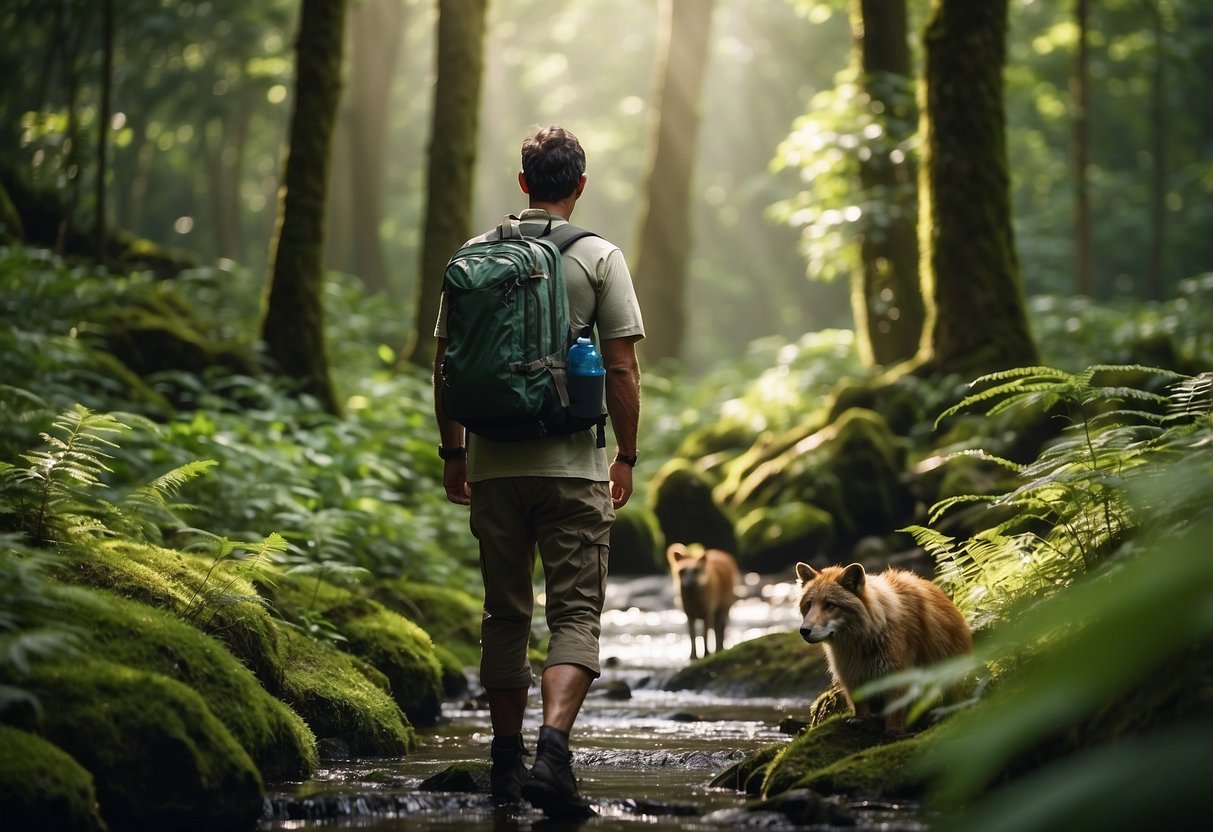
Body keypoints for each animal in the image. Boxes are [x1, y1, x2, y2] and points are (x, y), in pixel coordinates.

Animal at [790, 562, 970, 732]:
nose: (804, 631)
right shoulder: (851, 671)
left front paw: (894, 730)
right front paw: (861, 720)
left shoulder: (896, 671)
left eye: (830, 605)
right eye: (809, 604)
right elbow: (860, 703)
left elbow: (895, 709)